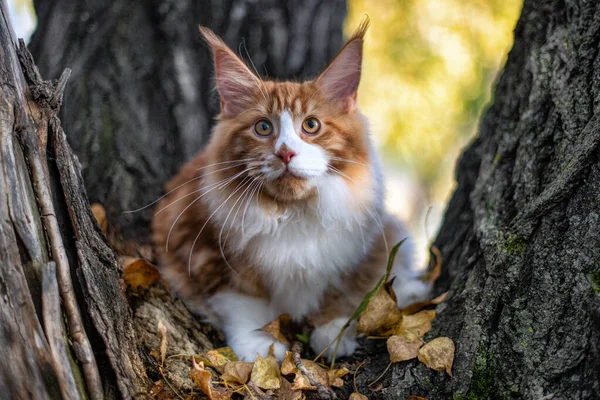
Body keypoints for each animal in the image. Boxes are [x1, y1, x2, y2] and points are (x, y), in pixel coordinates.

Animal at [151, 20, 432, 360]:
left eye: (311, 125)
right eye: (263, 128)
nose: (285, 153)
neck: (291, 214)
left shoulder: (355, 252)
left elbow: (344, 293)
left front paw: (333, 331)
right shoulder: (206, 252)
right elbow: (243, 303)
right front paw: (259, 345)